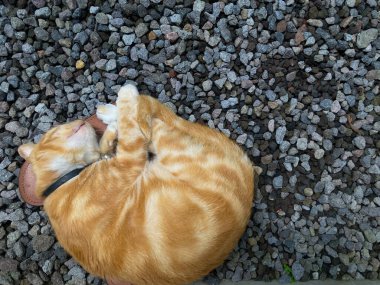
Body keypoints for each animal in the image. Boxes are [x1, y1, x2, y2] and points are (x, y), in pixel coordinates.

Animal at [19, 84, 260, 284]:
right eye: (56, 131)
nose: (82, 122)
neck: (63, 181)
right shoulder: (128, 161)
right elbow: (132, 129)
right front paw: (120, 113)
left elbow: (113, 142)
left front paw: (109, 133)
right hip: (173, 146)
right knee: (153, 117)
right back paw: (123, 100)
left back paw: (110, 113)